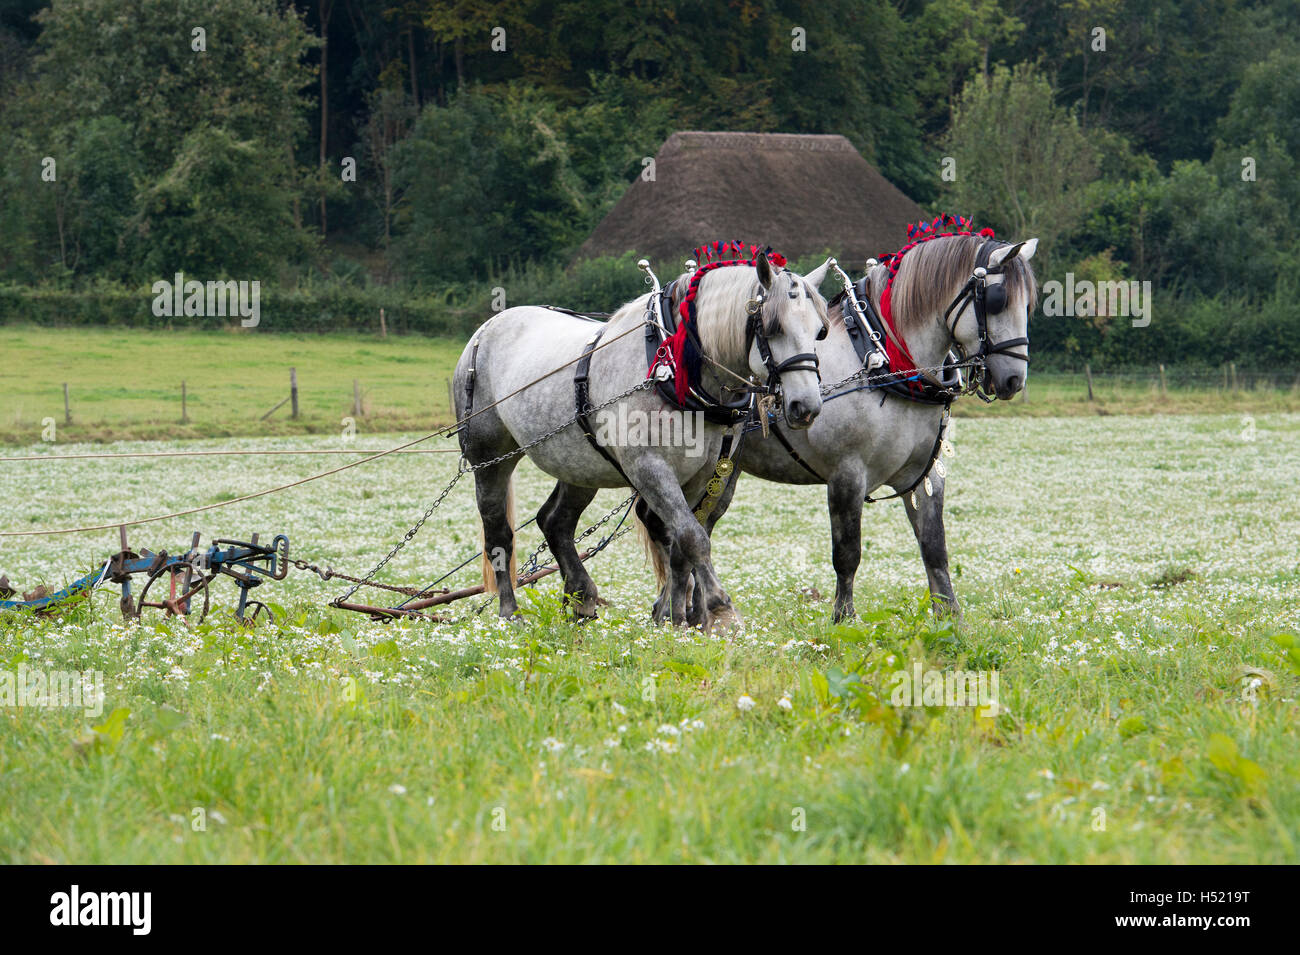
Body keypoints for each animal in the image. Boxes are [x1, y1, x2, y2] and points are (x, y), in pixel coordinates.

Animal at [453, 249, 832, 629]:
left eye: (820, 331)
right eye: (773, 327)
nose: (806, 407)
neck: (676, 370)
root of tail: (487, 328)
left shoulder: (702, 472)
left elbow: (681, 542)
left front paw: (676, 618)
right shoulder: (649, 468)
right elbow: (694, 537)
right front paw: (720, 609)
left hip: (579, 464)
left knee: (555, 521)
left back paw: (581, 598)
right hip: (489, 458)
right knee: (498, 533)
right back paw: (510, 613)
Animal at [640, 227, 1039, 624]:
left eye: (1029, 304)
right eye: (998, 300)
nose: (1013, 380)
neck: (879, 360)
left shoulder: (923, 475)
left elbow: (934, 546)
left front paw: (948, 615)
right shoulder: (847, 473)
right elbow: (847, 552)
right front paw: (844, 618)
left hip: (722, 470)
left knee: (690, 524)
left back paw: (687, 611)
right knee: (674, 526)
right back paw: (675, 610)